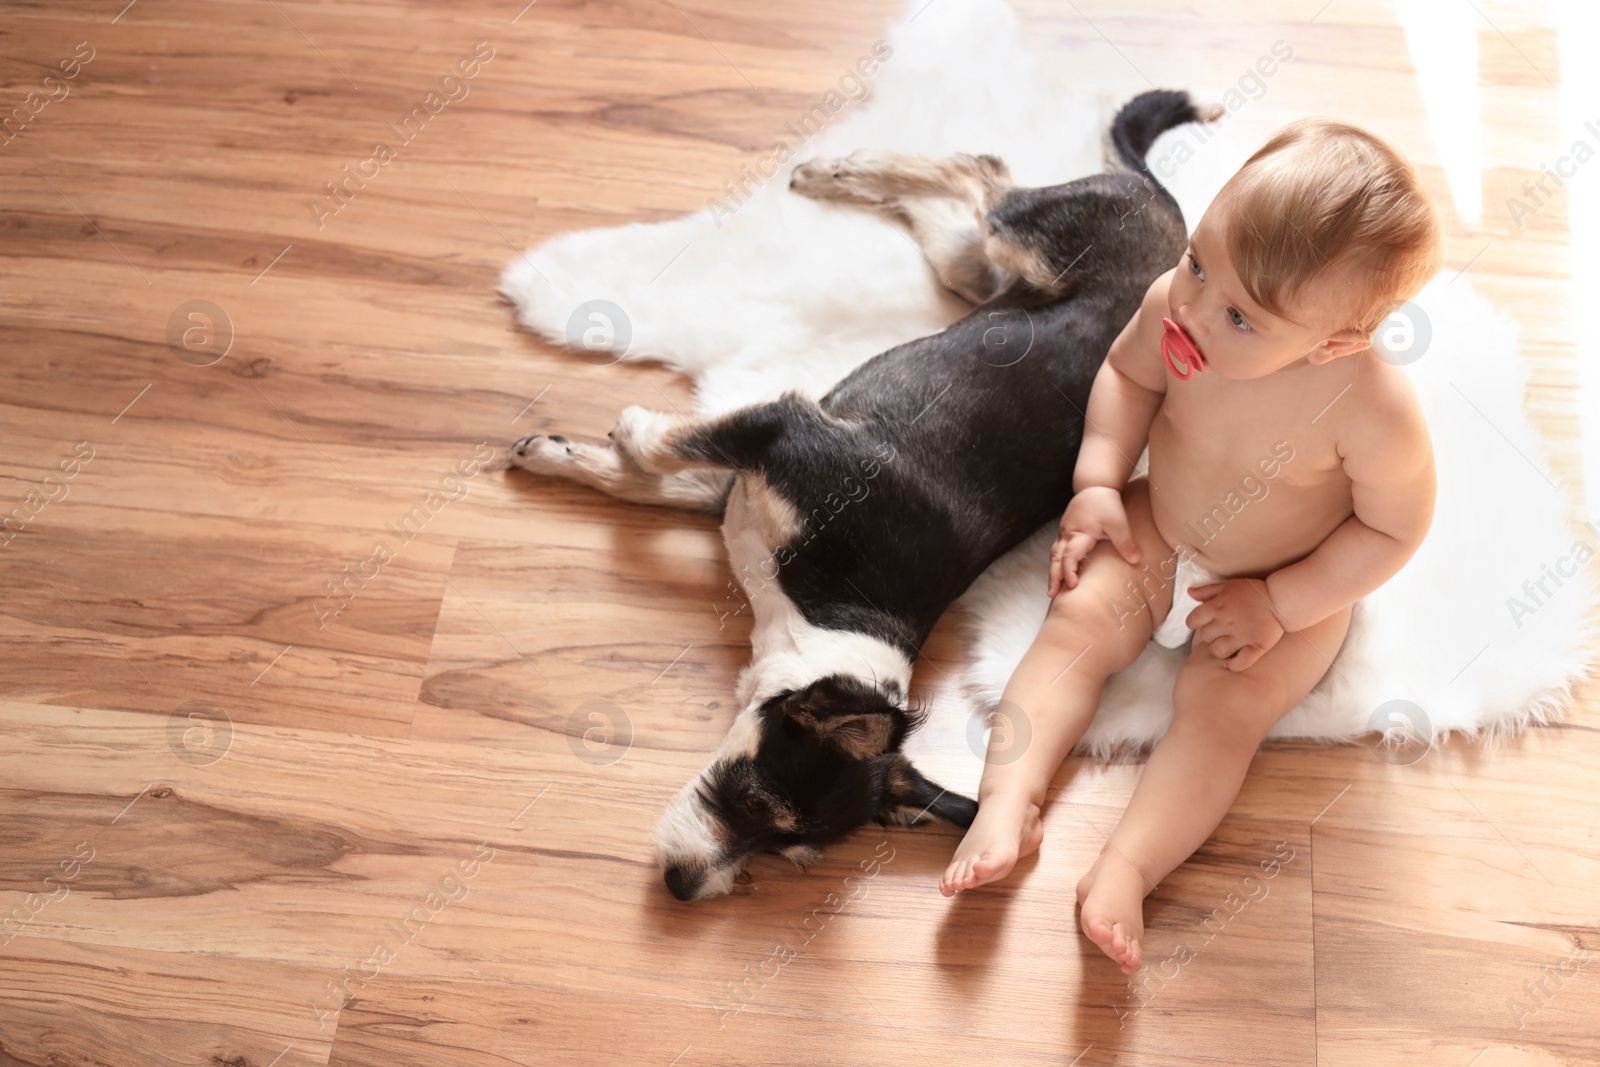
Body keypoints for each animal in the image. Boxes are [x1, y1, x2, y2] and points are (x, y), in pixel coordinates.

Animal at [512, 89, 1209, 902]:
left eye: (783, 851)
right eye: (752, 799)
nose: (684, 888)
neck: (820, 627)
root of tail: (1175, 221)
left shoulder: (742, 477)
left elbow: (652, 477)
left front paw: (563, 453)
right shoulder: (779, 430)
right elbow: (659, 452)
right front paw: (617, 432)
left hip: (978, 268)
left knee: (970, 182)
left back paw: (844, 172)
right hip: (1017, 246)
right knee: (982, 172)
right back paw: (837, 171)